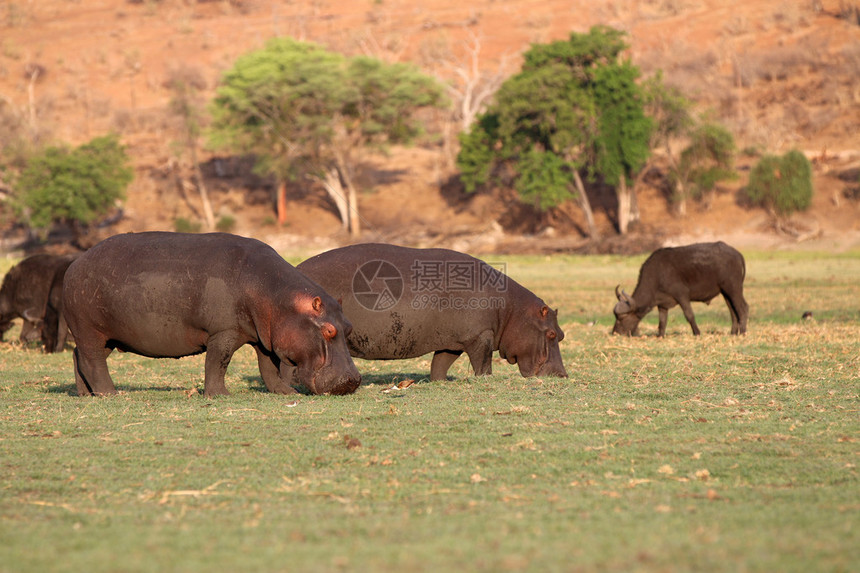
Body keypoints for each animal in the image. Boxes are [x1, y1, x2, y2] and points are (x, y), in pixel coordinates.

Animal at [61, 230, 360, 396]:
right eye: (328, 330)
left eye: (348, 327)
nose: (352, 380)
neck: (278, 297)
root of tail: (75, 263)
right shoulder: (223, 332)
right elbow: (218, 363)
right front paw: (220, 395)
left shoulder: (266, 336)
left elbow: (269, 367)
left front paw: (286, 392)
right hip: (90, 330)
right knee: (92, 361)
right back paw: (110, 394)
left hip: (106, 336)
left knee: (79, 358)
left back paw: (86, 395)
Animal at [298, 241, 572, 380]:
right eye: (551, 334)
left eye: (562, 334)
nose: (562, 375)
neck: (513, 311)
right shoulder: (481, 336)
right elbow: (483, 363)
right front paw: (485, 380)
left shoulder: (452, 341)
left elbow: (440, 363)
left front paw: (439, 382)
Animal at [612, 240, 744, 338]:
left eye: (622, 317)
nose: (615, 333)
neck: (658, 274)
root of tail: (737, 254)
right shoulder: (662, 305)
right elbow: (662, 321)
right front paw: (660, 336)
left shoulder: (682, 296)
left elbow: (689, 315)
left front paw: (697, 333)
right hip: (726, 293)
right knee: (733, 311)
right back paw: (733, 333)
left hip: (734, 289)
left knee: (743, 308)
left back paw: (742, 332)